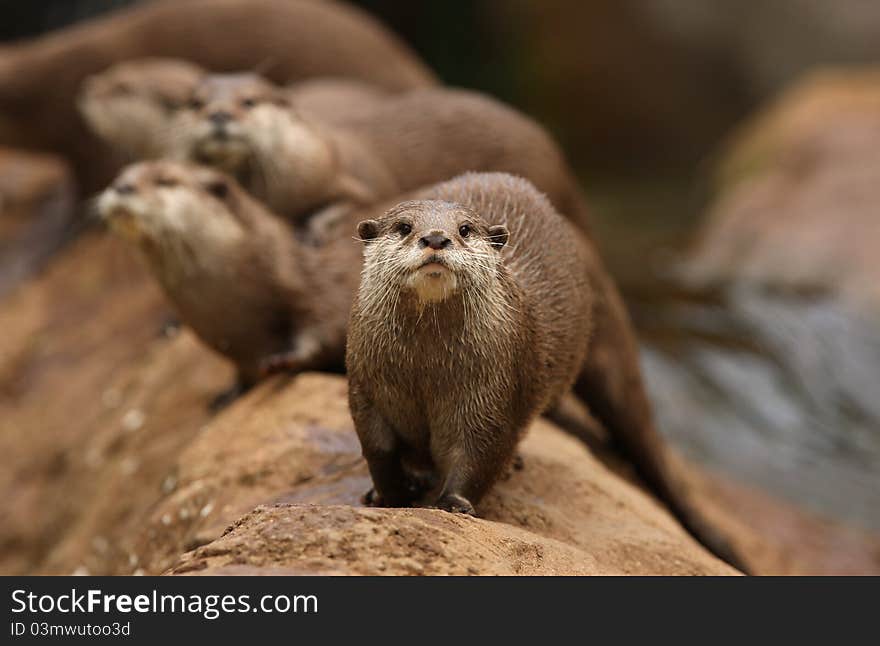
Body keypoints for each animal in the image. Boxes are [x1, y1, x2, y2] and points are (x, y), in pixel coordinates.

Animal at [96, 159, 358, 408]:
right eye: (119, 176)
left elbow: (324, 323)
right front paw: (231, 392)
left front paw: (286, 357)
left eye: (166, 181)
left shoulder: (321, 288)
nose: (122, 187)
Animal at [348, 173, 744, 572]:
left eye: (464, 229)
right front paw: (389, 494)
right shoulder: (366, 386)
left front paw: (452, 503)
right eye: (403, 227)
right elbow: (377, 446)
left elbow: (482, 448)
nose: (435, 238)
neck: (426, 372)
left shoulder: (494, 388)